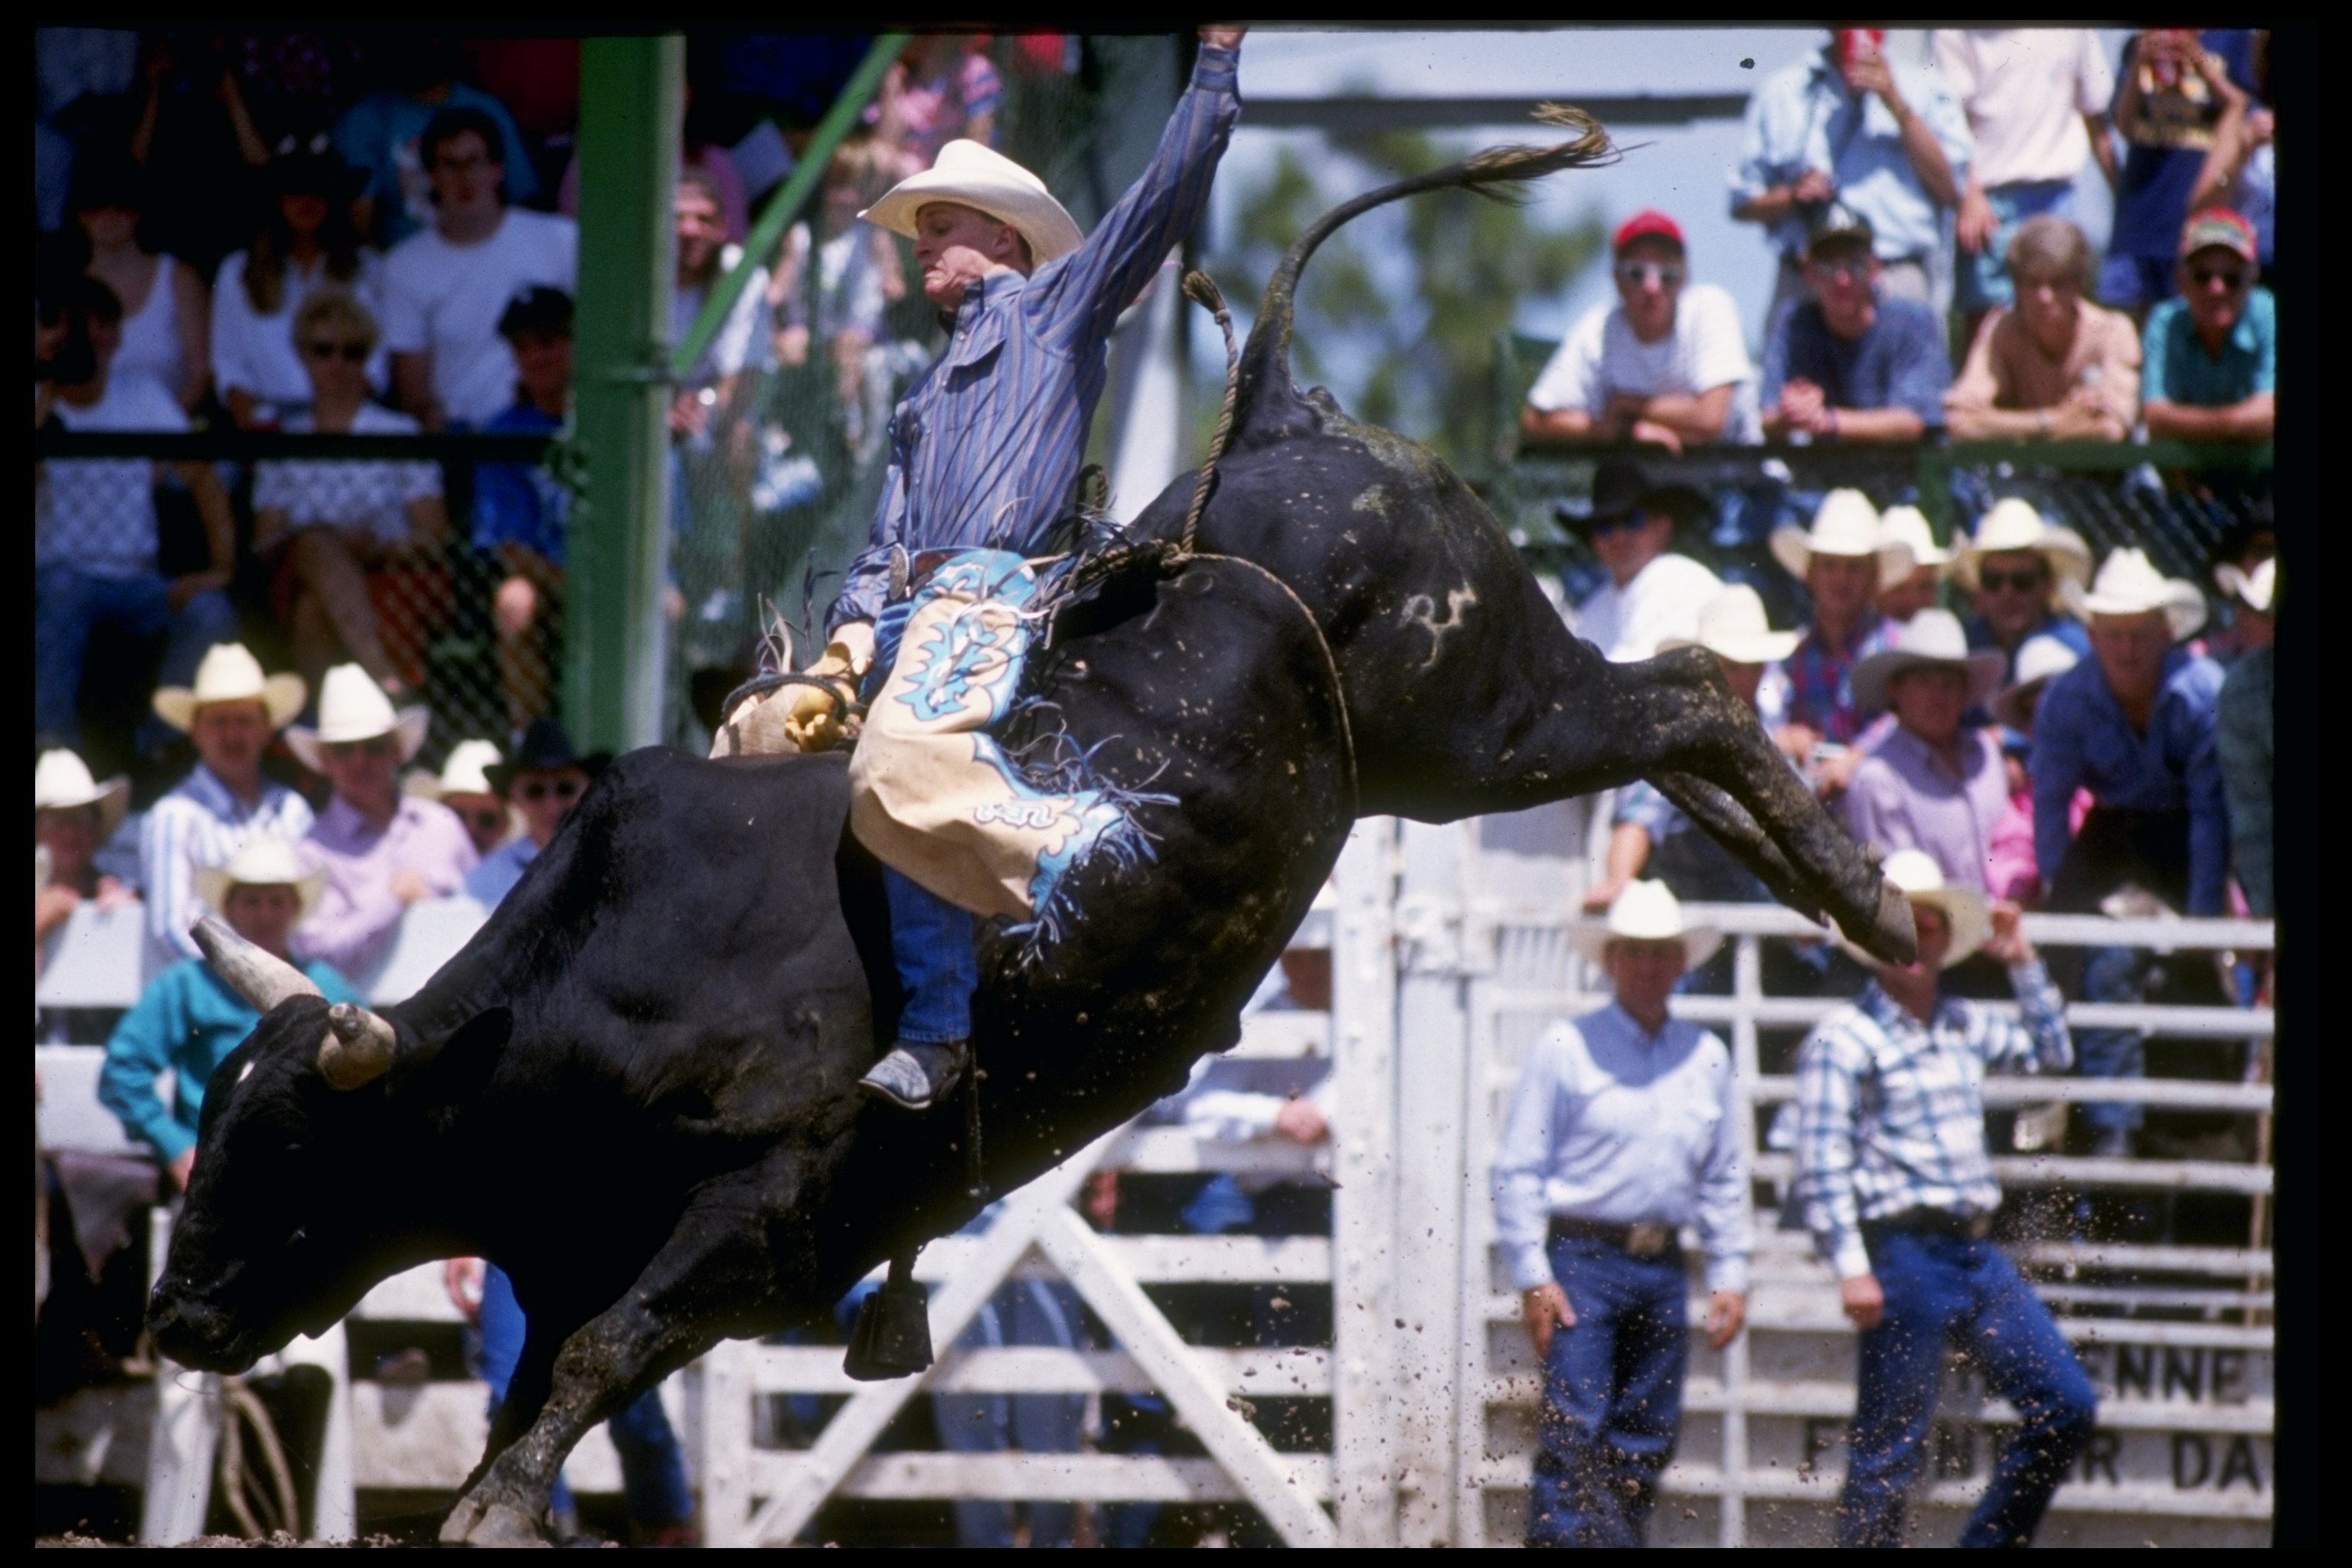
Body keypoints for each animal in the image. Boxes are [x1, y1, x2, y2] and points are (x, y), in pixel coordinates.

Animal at [150, 111, 1912, 1545]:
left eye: (296, 1140)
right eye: (209, 1119)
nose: (168, 1321)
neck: (600, 995)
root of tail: (1285, 417)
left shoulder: (769, 1210)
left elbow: (593, 1357)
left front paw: (500, 1502)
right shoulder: (583, 1238)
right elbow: (546, 1378)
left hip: (1484, 715)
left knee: (1690, 687)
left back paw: (1887, 910)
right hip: (1470, 739)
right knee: (1676, 728)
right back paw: (1864, 907)